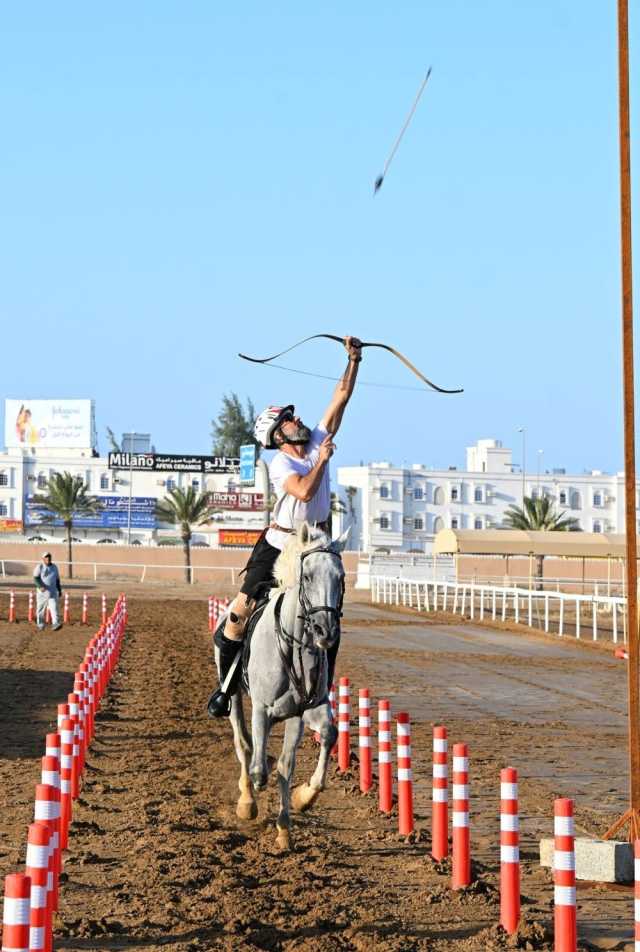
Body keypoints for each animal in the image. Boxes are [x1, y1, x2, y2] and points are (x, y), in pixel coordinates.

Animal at [215, 524, 348, 852]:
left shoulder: (301, 711)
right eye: (308, 576)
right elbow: (260, 768)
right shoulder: (262, 709)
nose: (326, 632)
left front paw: (294, 813)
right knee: (243, 744)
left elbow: (295, 761)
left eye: (341, 577)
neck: (293, 642)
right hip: (232, 697)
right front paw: (255, 799)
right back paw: (247, 801)